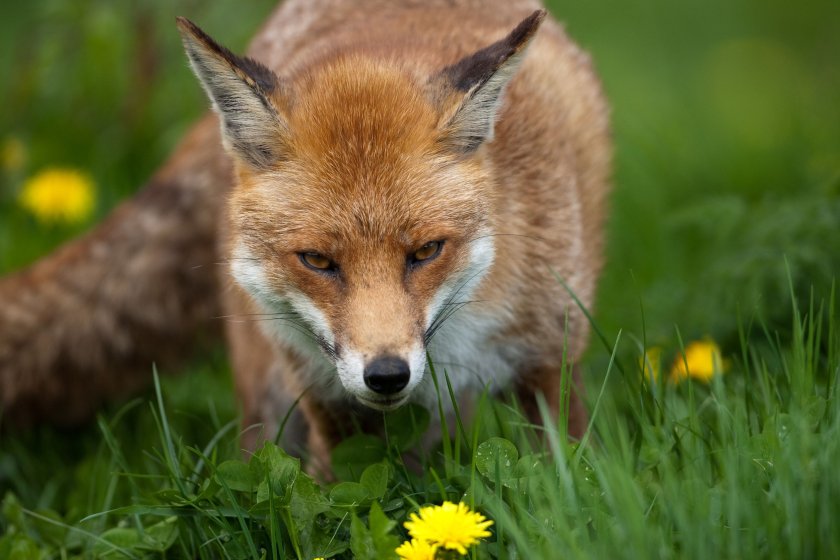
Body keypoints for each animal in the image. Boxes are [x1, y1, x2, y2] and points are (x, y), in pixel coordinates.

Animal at [0, 0, 610, 468]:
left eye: (426, 251)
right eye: (316, 260)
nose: (386, 376)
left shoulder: (548, 359)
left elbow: (567, 480)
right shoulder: (325, 397)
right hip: (267, 393)